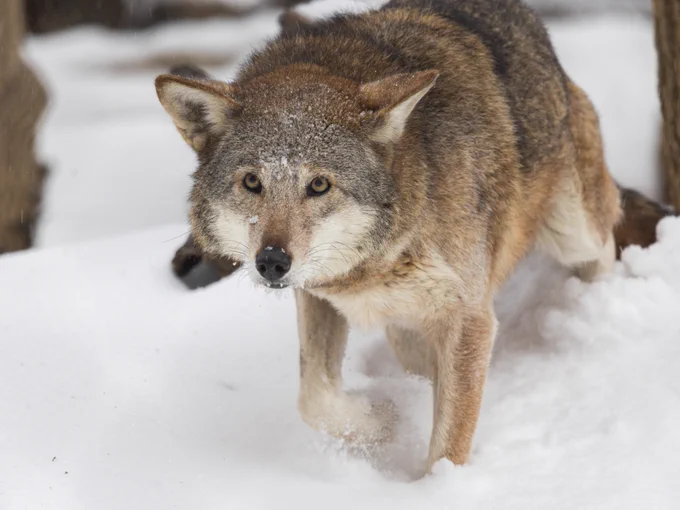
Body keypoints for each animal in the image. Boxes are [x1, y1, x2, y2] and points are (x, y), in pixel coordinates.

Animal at [155, 0, 671, 470]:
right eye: (252, 183)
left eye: (319, 185)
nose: (271, 262)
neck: (381, 256)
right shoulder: (319, 294)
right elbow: (315, 398)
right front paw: (384, 420)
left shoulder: (469, 317)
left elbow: (449, 444)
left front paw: (436, 487)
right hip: (408, 325)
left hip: (573, 231)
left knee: (603, 247)